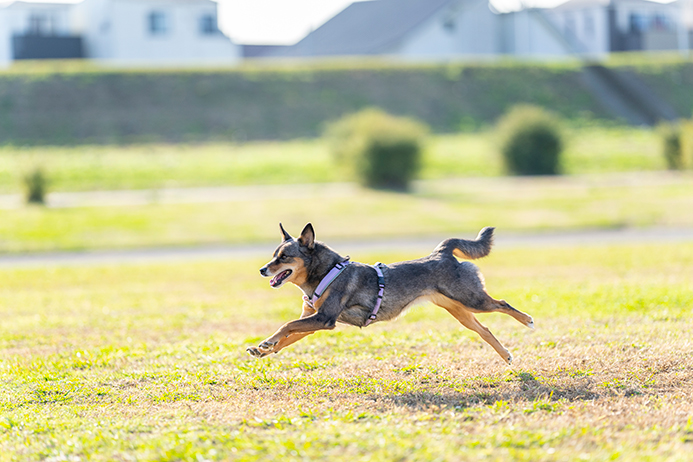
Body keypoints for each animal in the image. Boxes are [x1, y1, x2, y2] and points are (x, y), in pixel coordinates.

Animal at [246, 224, 532, 364]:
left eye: (284, 257)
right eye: (274, 255)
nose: (261, 270)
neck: (327, 272)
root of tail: (442, 253)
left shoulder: (324, 319)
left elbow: (287, 325)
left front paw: (267, 342)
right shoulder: (316, 321)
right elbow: (288, 337)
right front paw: (263, 349)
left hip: (471, 299)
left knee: (502, 303)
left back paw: (527, 320)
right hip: (459, 310)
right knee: (485, 329)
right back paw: (506, 355)